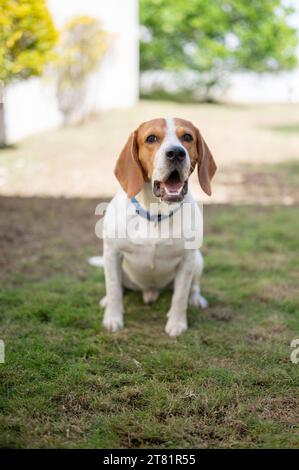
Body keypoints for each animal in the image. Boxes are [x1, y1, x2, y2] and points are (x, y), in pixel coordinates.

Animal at [101, 117, 218, 338]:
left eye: (187, 137)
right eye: (151, 138)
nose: (176, 153)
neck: (155, 214)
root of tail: (150, 291)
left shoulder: (187, 260)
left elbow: (180, 296)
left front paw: (177, 322)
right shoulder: (111, 253)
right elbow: (113, 289)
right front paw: (113, 318)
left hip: (198, 260)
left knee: (193, 287)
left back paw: (195, 298)